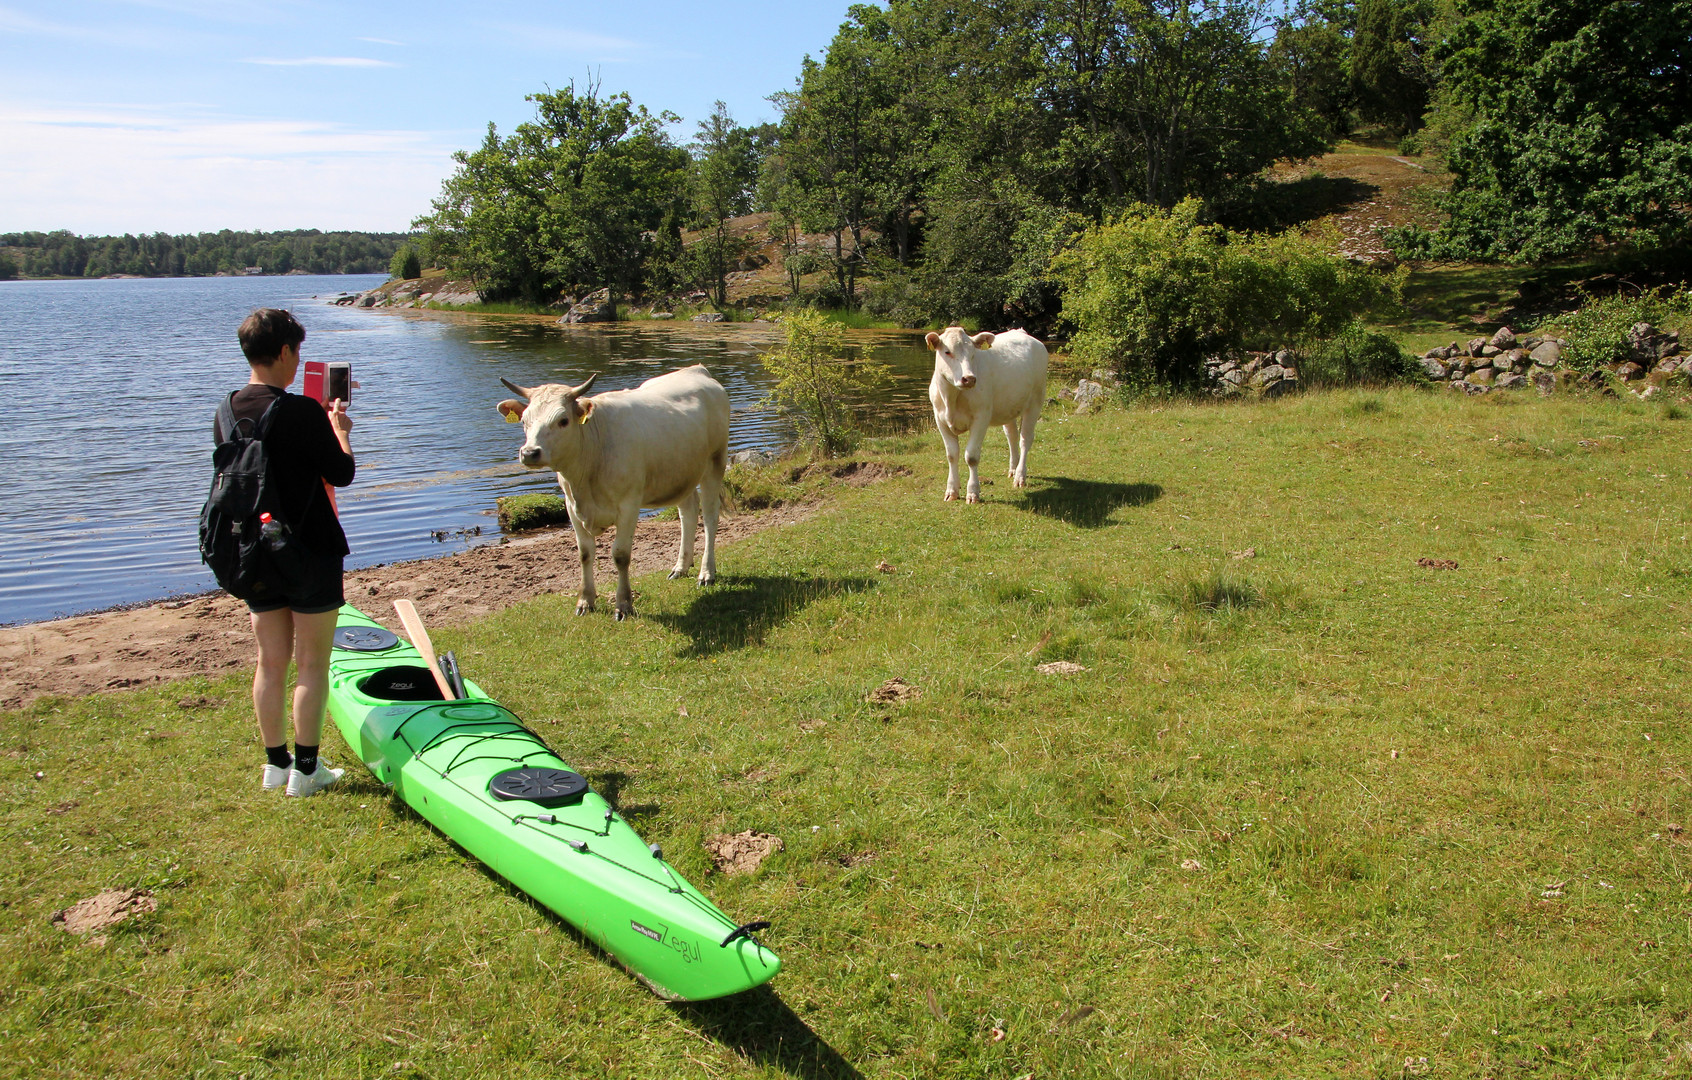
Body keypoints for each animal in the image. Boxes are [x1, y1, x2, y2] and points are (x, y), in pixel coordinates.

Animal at [490, 365, 727, 622]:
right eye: (524, 420)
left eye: (563, 420)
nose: (529, 452)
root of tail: (696, 370)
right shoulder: (571, 506)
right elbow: (584, 553)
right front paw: (585, 601)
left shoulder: (629, 504)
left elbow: (621, 555)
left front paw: (623, 605)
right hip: (680, 473)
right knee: (688, 513)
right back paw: (681, 567)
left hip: (715, 463)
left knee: (710, 517)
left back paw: (706, 573)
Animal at [927, 325, 1042, 504]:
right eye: (947, 352)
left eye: (973, 353)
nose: (969, 378)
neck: (951, 398)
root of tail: (1022, 332)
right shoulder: (940, 420)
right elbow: (952, 455)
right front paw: (952, 490)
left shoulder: (981, 418)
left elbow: (971, 456)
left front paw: (973, 493)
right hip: (1009, 407)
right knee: (1012, 436)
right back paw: (1013, 469)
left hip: (1035, 402)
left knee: (1025, 440)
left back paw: (1020, 476)